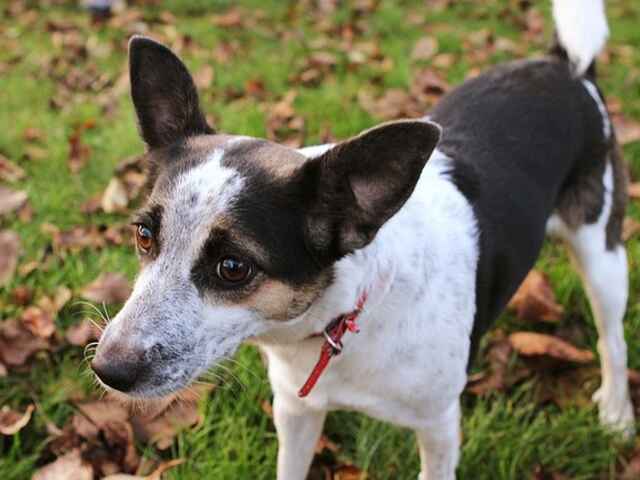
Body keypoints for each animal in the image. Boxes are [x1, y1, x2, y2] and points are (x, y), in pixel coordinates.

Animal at [91, 1, 636, 478]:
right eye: (144, 235)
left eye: (233, 267)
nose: (107, 369)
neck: (345, 318)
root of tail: (568, 67)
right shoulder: (296, 411)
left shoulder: (439, 425)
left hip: (602, 255)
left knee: (611, 337)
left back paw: (615, 411)